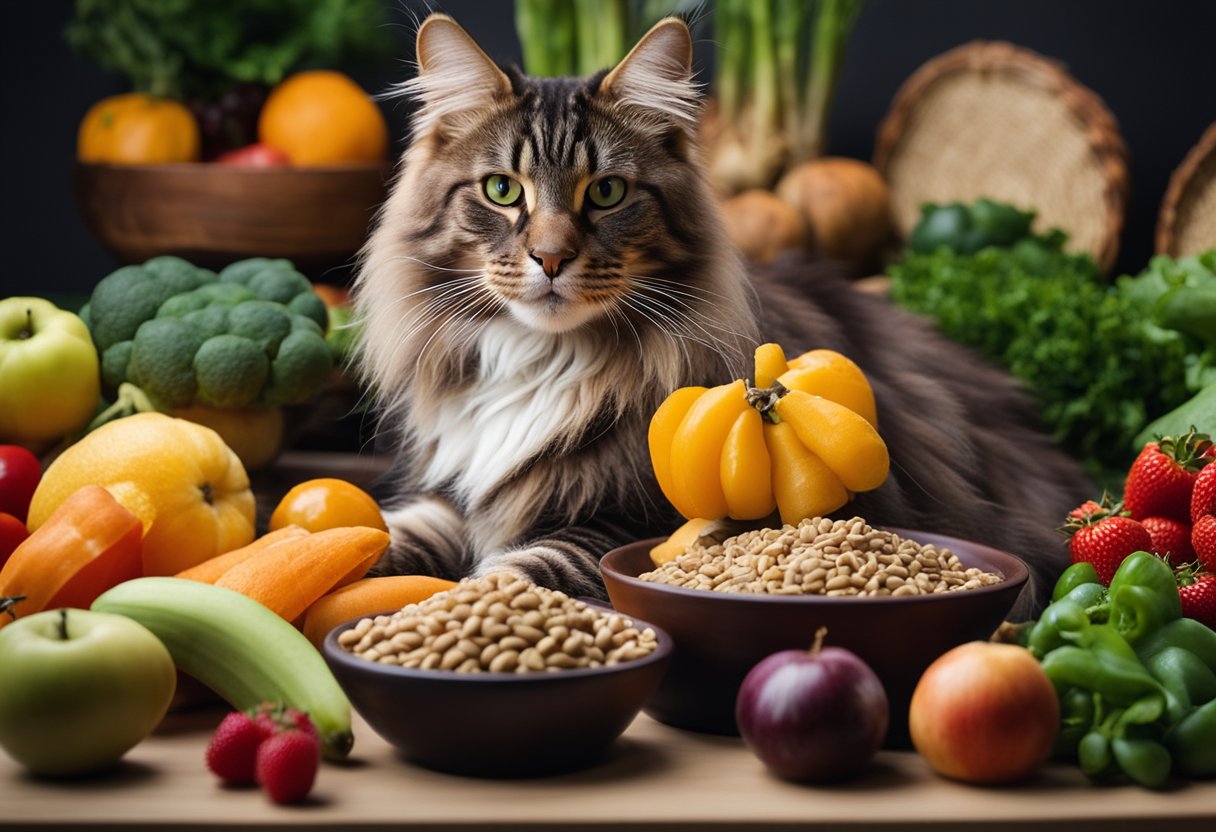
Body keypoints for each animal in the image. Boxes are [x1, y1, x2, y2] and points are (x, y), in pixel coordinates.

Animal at [352, 11, 1094, 610]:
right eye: (502, 190)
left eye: (608, 192)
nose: (551, 257)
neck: (542, 360)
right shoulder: (450, 492)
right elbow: (368, 531)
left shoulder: (618, 525)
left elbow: (511, 574)